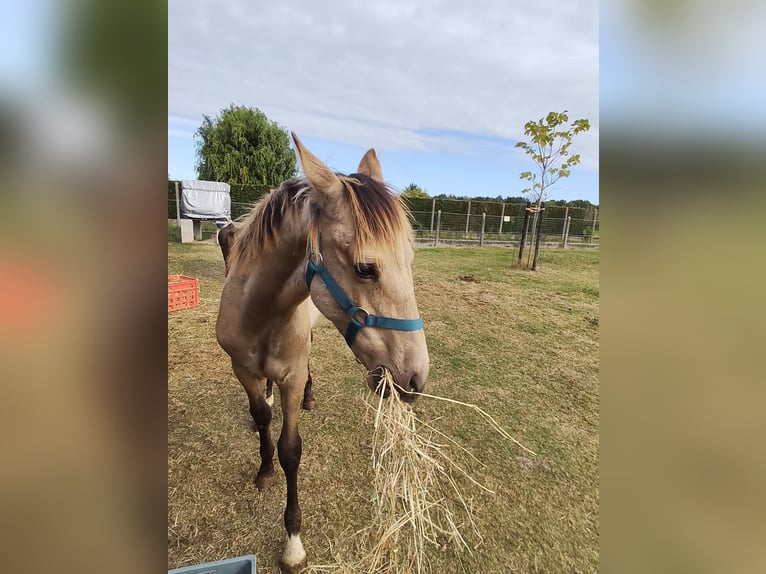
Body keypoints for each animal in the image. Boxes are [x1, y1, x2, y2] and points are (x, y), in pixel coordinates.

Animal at [215, 133, 430, 573]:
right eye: (366, 268)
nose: (416, 378)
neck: (259, 313)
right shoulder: (241, 369)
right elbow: (261, 420)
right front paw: (264, 470)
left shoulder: (293, 377)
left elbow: (291, 449)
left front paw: (293, 544)